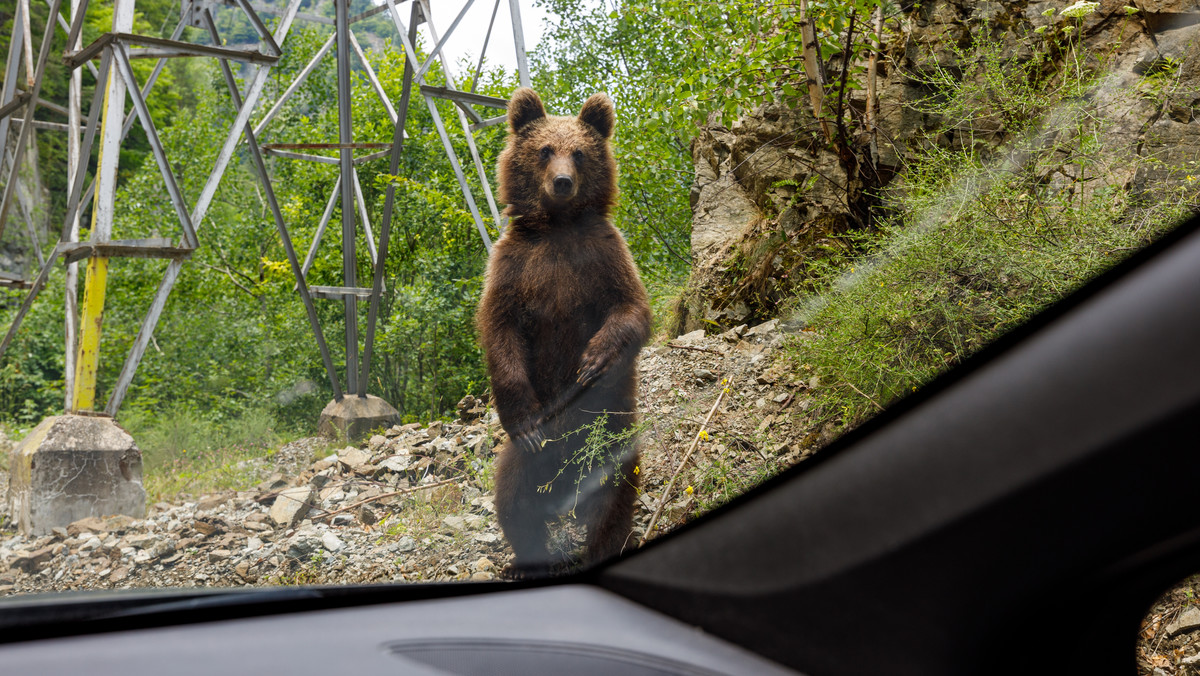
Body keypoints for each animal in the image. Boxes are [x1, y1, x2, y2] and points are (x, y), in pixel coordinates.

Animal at [475, 87, 652, 578]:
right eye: (544, 150)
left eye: (579, 152)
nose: (561, 182)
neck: (557, 227)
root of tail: (566, 484)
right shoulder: (514, 268)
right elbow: (500, 330)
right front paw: (526, 420)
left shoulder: (603, 255)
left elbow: (631, 309)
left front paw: (593, 360)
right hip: (526, 462)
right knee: (514, 498)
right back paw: (528, 561)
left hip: (611, 436)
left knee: (613, 495)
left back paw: (604, 545)